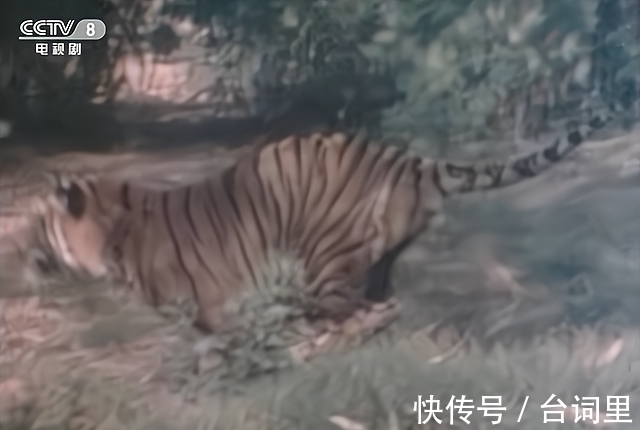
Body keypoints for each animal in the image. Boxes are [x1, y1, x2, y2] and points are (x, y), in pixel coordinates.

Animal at [27, 108, 614, 363]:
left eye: (38, 226)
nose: (24, 255)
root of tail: (404, 159)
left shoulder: (211, 310)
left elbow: (219, 353)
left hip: (323, 264)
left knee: (355, 318)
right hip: (373, 262)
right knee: (382, 308)